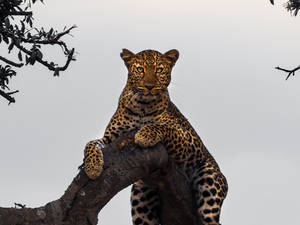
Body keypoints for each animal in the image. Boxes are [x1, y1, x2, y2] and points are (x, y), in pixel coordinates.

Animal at [82, 48, 227, 224]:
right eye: (140, 69)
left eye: (159, 70)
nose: (149, 86)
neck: (142, 106)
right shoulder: (111, 139)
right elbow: (90, 144)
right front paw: (92, 168)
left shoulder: (187, 140)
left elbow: (162, 127)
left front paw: (143, 135)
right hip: (140, 195)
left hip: (210, 183)